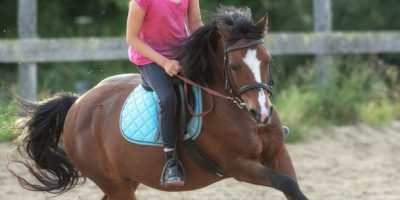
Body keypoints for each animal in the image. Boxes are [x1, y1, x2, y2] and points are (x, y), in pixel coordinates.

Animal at [10, 5, 308, 200]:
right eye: (234, 67)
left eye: (267, 61)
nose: (262, 113)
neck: (239, 112)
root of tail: (77, 103)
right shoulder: (238, 165)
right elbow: (287, 184)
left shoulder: (278, 154)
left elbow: (293, 186)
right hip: (115, 185)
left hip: (127, 180)